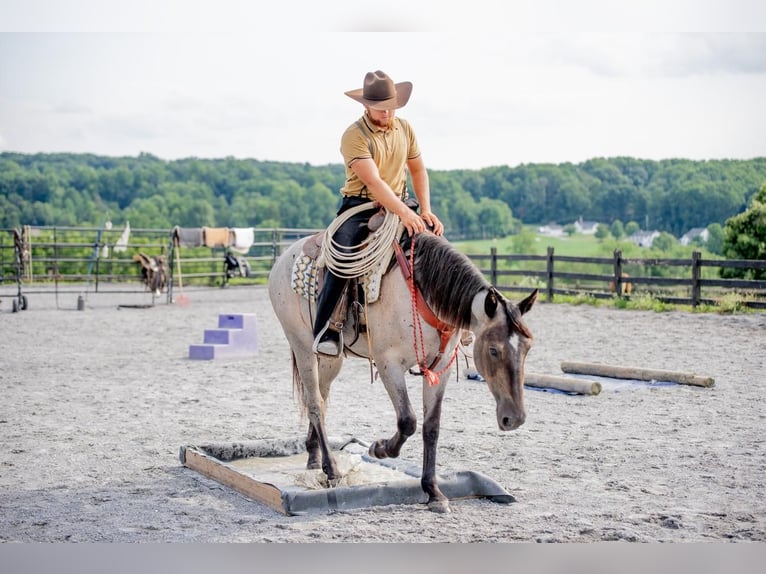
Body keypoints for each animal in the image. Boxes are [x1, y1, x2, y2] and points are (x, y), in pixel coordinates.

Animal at [270, 232, 540, 516]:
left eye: (528, 347)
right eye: (493, 350)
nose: (515, 418)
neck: (424, 291)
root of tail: (284, 257)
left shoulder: (439, 367)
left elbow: (431, 427)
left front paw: (433, 492)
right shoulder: (388, 363)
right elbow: (408, 420)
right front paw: (379, 449)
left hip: (330, 359)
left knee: (321, 398)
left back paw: (314, 457)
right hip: (301, 345)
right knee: (314, 404)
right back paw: (332, 470)